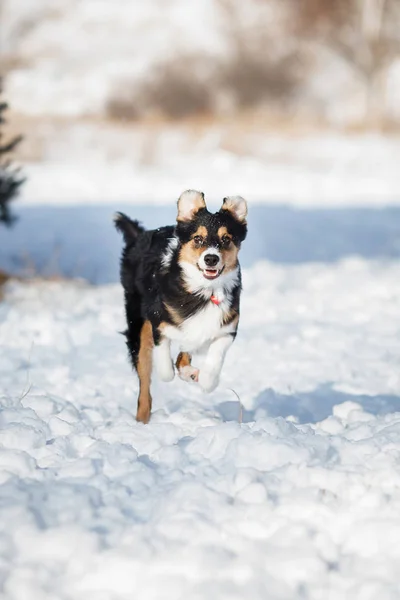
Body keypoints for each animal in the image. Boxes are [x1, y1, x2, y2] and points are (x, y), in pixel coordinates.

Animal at [114, 191, 248, 422]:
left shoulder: (227, 327)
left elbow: (214, 359)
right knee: (145, 385)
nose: (211, 258)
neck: (203, 291)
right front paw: (168, 371)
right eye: (198, 238)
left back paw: (190, 372)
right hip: (137, 324)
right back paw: (141, 420)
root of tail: (140, 236)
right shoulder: (157, 320)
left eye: (226, 239)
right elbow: (165, 365)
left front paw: (206, 380)